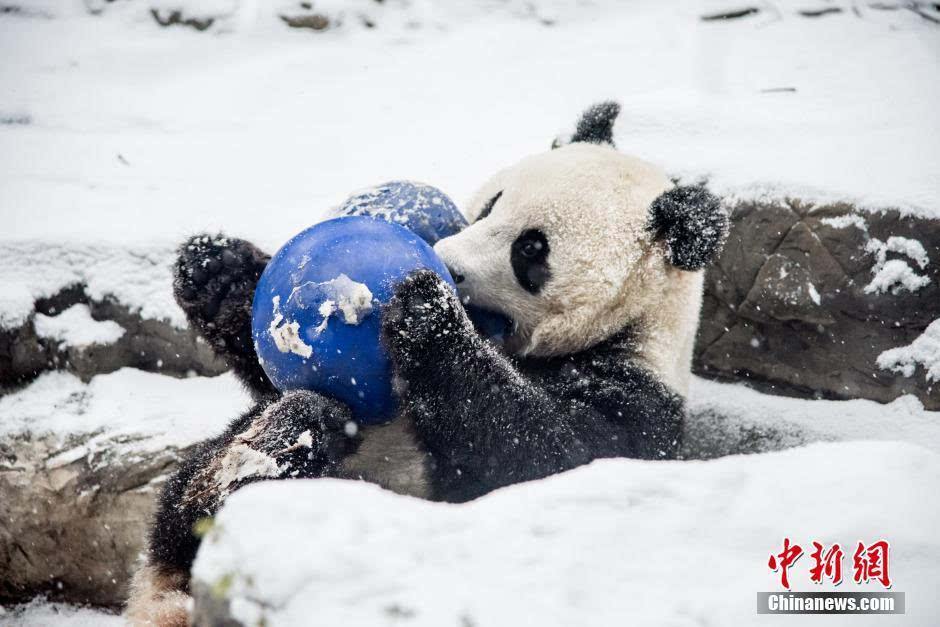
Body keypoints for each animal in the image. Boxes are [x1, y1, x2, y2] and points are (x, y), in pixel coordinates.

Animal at [126, 100, 728, 624]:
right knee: (188, 501)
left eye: (531, 250)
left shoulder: (633, 400)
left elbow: (541, 454)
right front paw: (216, 271)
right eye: (490, 205)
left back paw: (294, 435)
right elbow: (260, 369)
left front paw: (425, 309)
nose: (447, 264)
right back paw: (285, 434)